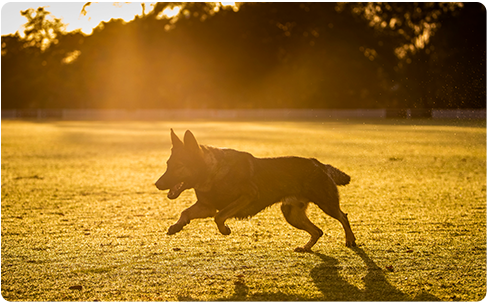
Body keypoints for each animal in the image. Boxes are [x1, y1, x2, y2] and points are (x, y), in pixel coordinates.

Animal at [154, 129, 356, 251]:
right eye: (168, 164)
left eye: (178, 166)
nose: (157, 183)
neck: (213, 172)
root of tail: (319, 163)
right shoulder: (206, 206)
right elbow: (186, 212)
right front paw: (177, 226)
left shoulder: (248, 195)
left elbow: (219, 216)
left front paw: (225, 230)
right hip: (291, 214)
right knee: (318, 231)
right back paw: (306, 248)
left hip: (326, 204)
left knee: (343, 216)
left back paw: (350, 239)